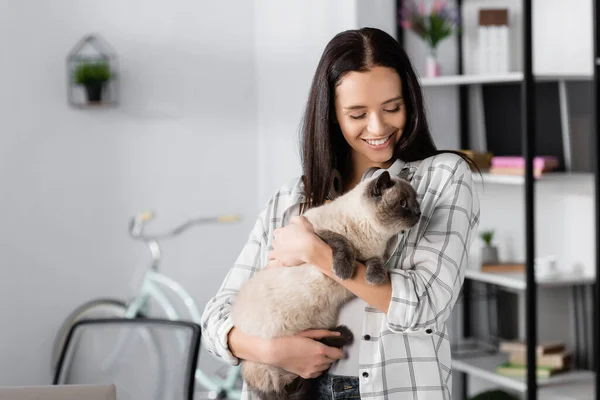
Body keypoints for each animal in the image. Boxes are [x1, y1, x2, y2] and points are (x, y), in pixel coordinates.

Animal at [230, 172, 422, 400]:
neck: (373, 235)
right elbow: (341, 243)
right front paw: (344, 271)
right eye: (403, 203)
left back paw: (341, 335)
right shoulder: (318, 234)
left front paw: (374, 278)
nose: (419, 213)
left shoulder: (371, 256)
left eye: (416, 202)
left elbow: (376, 262)